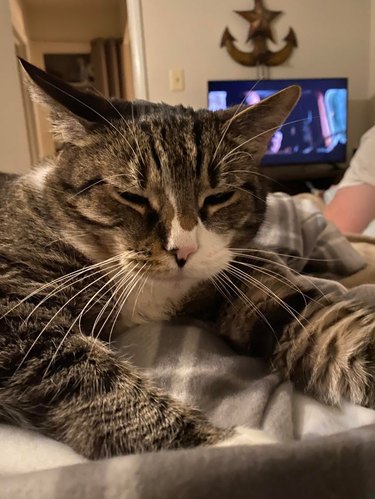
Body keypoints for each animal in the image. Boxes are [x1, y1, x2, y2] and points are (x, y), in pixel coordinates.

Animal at [0, 59, 374, 460]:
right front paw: (228, 448)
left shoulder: (242, 277)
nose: (184, 250)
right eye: (131, 197)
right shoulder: (16, 313)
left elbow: (324, 325)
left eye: (219, 196)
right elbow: (87, 377)